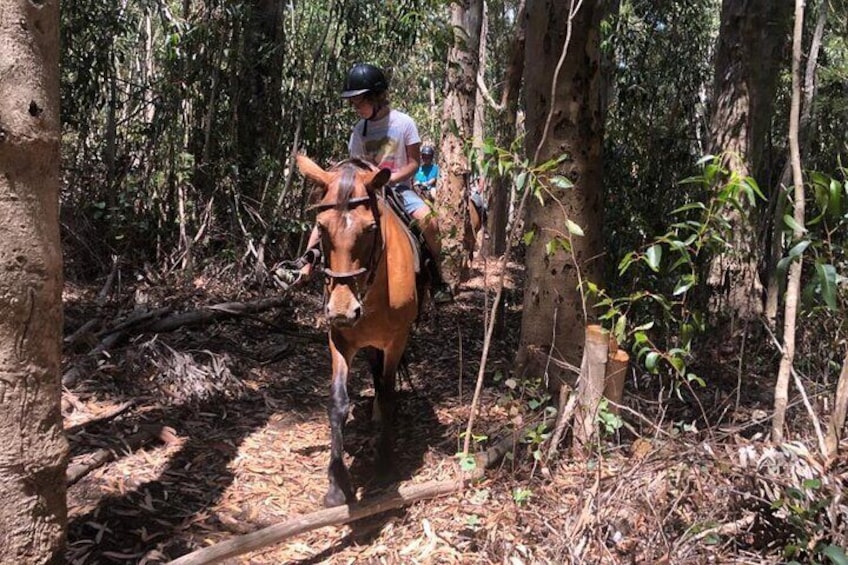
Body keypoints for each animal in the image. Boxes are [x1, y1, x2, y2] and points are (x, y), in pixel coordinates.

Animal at [294, 154, 420, 506]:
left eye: (371, 228)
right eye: (321, 227)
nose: (342, 310)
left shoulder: (396, 341)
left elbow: (389, 393)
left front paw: (386, 465)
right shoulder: (339, 339)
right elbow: (338, 401)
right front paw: (337, 484)